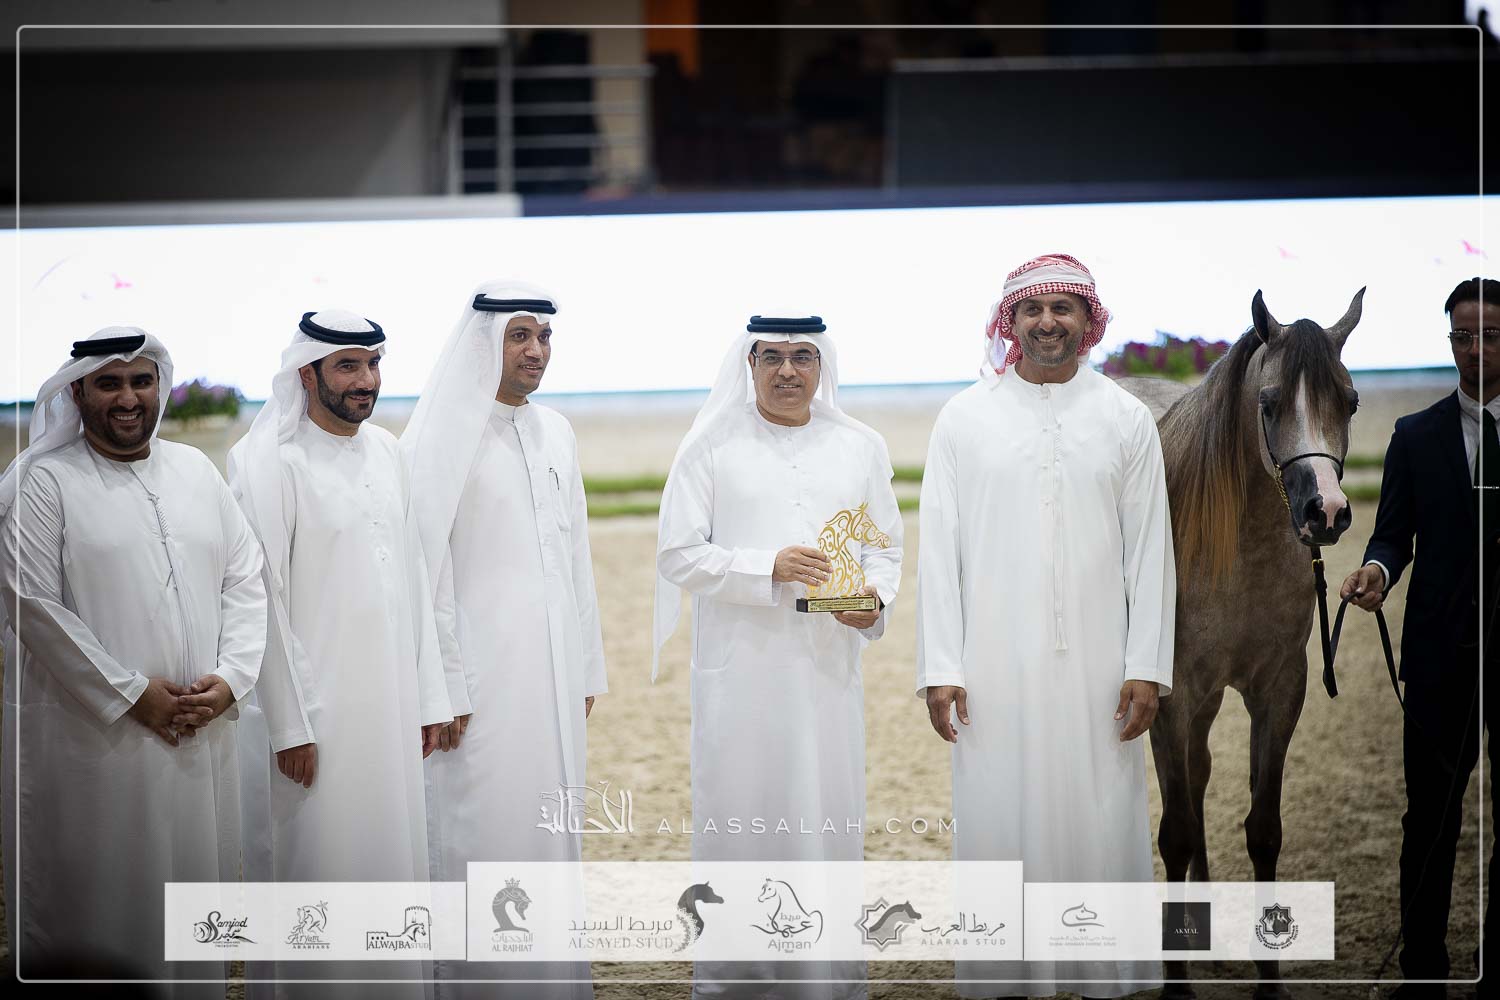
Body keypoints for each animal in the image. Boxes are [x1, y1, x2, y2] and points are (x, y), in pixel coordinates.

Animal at [1117, 287, 1365, 999]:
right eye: (1270, 402)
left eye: (1350, 401)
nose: (1326, 512)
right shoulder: (1169, 697)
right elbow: (1173, 832)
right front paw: (1175, 984)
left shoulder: (1278, 691)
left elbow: (1263, 830)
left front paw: (1269, 980)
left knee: (1199, 775)